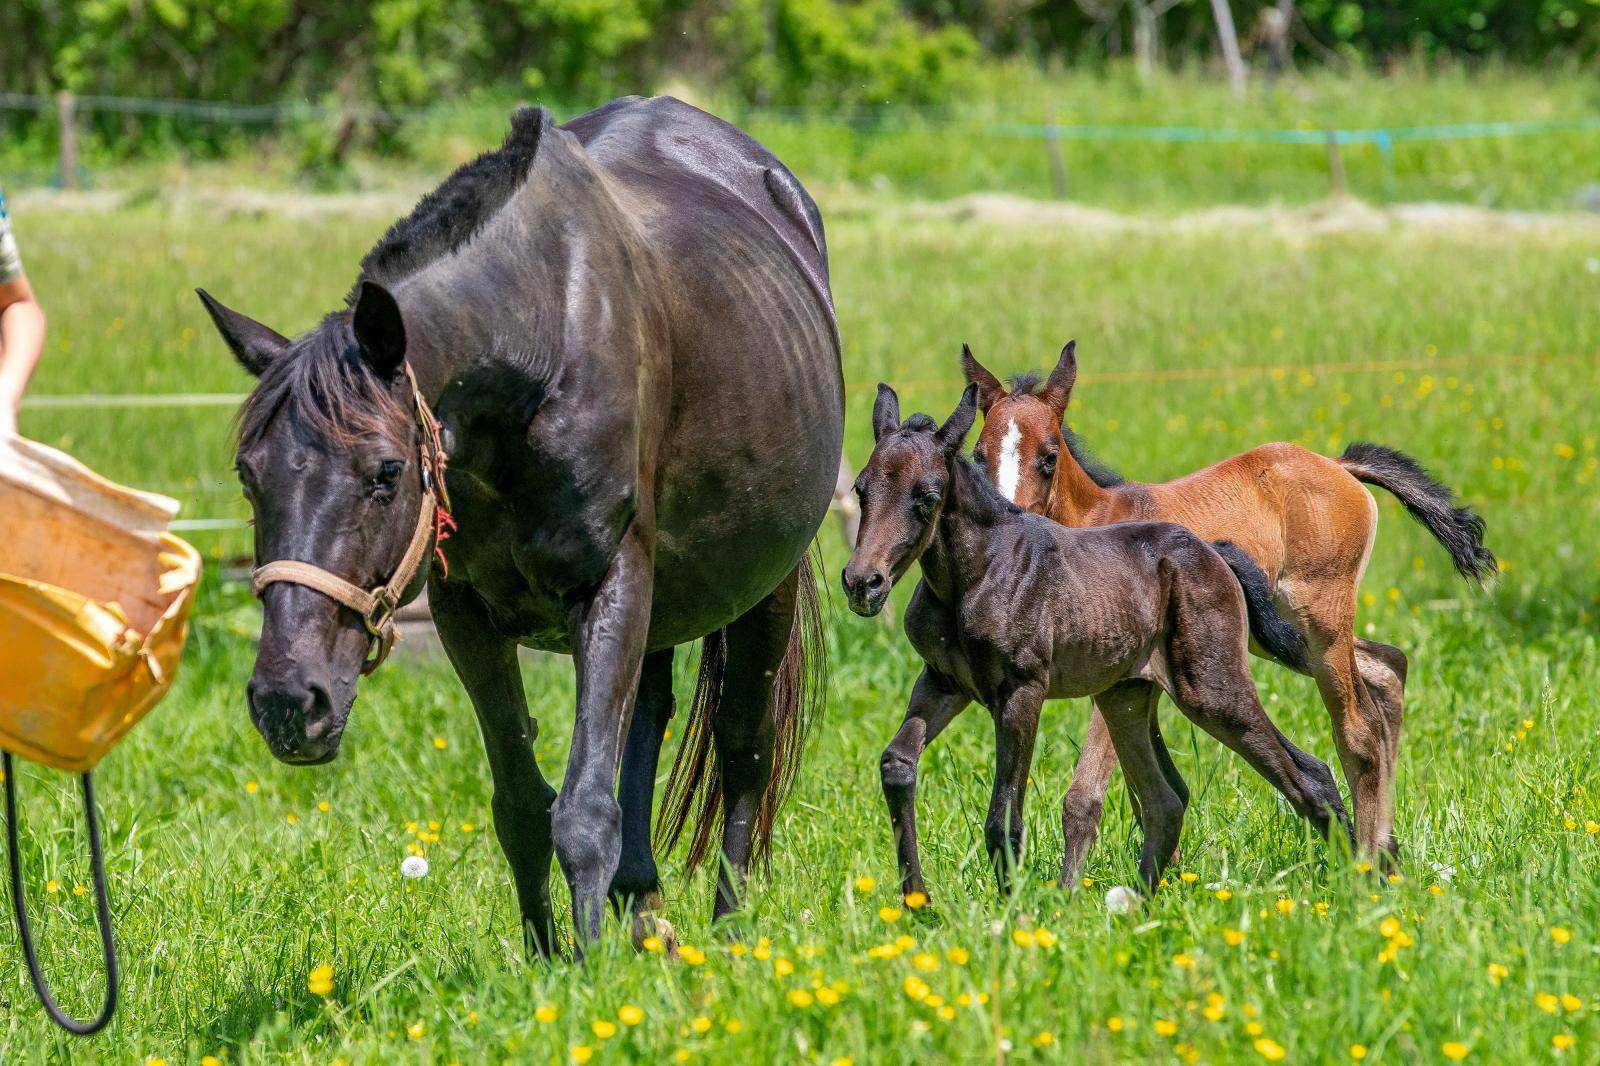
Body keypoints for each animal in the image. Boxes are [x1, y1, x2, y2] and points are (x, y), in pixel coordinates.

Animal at [960, 340, 1497, 864]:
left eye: (1049, 456)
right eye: (979, 456)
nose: (1006, 524)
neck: (1093, 522)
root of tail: (1337, 465)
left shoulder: (1125, 673)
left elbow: (1087, 796)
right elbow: (1143, 792)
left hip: (1321, 621)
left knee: (1358, 729)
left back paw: (1367, 863)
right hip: (1281, 634)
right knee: (1388, 663)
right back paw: (1386, 852)